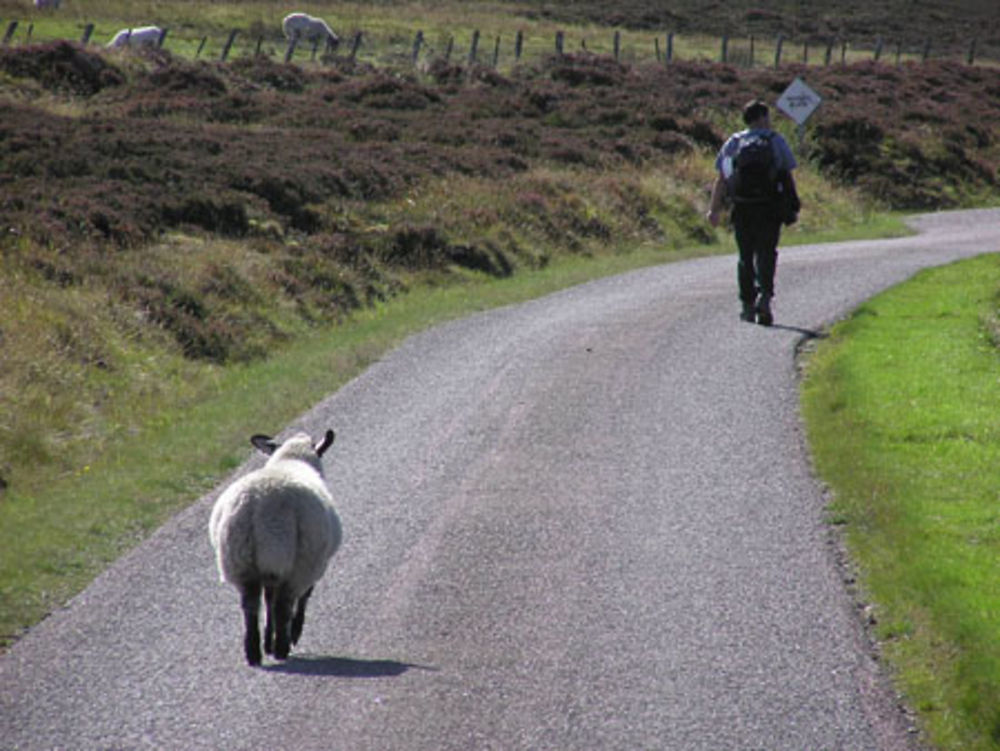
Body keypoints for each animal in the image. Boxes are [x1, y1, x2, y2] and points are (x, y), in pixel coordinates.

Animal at [208, 432, 344, 668]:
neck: (291, 459)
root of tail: (259, 506)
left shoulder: (269, 571)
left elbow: (268, 601)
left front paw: (267, 642)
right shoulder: (313, 565)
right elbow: (303, 597)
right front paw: (291, 635)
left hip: (240, 561)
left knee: (251, 607)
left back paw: (254, 652)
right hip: (297, 562)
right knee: (283, 604)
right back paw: (282, 646)